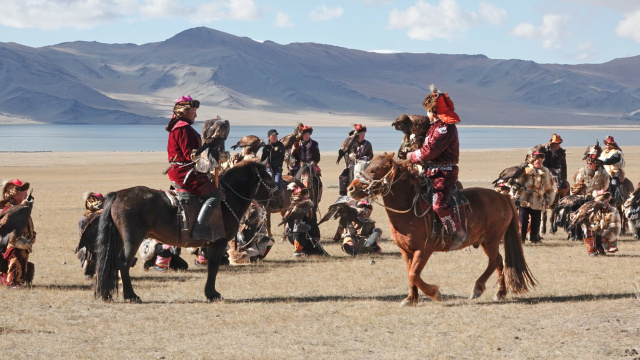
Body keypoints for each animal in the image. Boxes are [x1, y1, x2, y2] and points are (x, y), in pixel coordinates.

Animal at [94, 159, 280, 302]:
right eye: (269, 178)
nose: (278, 200)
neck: (227, 199)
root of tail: (118, 195)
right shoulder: (219, 243)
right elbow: (213, 266)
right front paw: (212, 294)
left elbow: (211, 266)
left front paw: (210, 293)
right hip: (132, 239)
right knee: (124, 263)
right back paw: (131, 295)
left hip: (118, 239)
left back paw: (107, 294)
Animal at [344, 153, 536, 306]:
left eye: (374, 171)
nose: (351, 188)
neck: (409, 209)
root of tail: (503, 197)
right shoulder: (406, 251)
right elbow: (410, 274)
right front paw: (411, 299)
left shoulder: (424, 250)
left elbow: (414, 273)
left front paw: (435, 293)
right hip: (485, 241)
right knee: (499, 261)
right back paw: (499, 292)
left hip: (492, 239)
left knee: (495, 261)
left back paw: (479, 288)